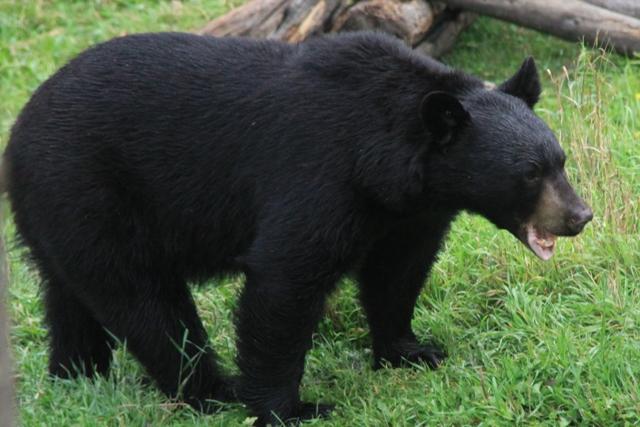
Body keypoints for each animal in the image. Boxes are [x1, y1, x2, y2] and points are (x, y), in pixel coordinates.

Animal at [3, 31, 592, 426]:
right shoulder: (318, 175)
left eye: (560, 161)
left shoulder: (406, 212)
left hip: (59, 213)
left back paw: (77, 372)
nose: (580, 217)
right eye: (530, 173)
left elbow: (397, 273)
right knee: (146, 303)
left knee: (70, 294)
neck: (389, 164)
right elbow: (286, 279)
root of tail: (19, 133)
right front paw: (292, 407)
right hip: (93, 193)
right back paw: (211, 390)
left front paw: (412, 350)